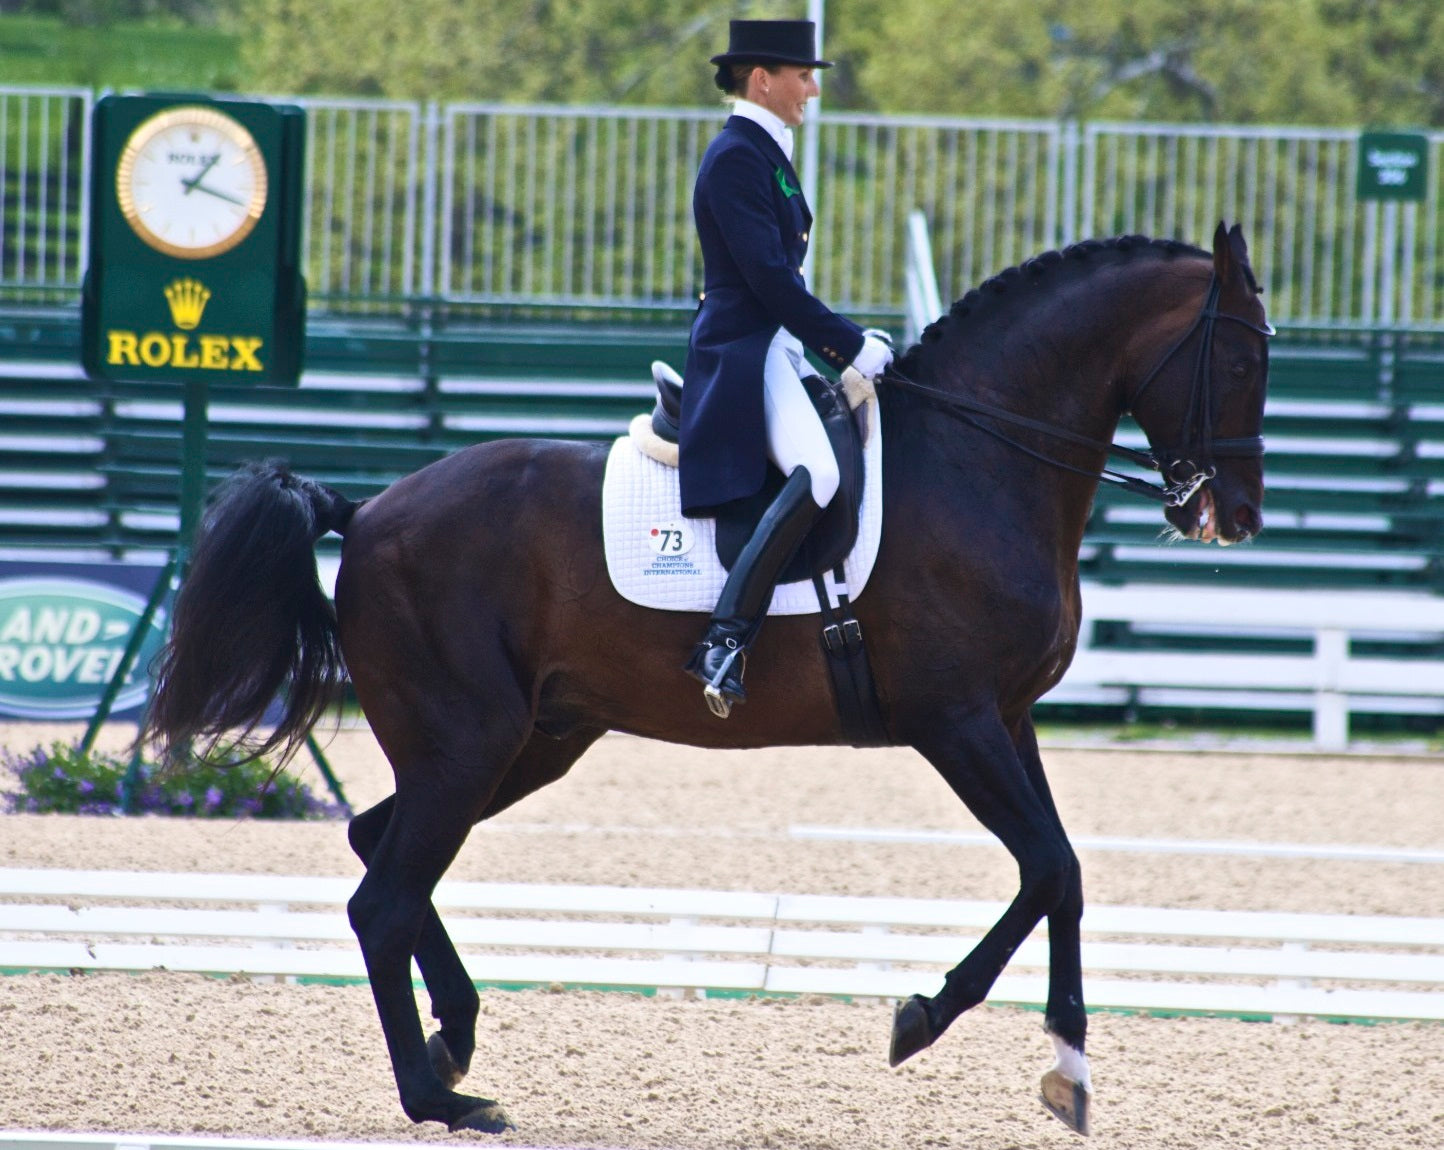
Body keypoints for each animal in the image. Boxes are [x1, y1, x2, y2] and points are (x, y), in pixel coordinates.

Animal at [142, 222, 1271, 1138]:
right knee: (382, 898)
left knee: (382, 849)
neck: (978, 458)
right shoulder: (955, 721)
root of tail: (368, 511)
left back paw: (452, 1039)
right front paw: (921, 1018)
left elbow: (1064, 873)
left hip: (526, 742)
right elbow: (1042, 867)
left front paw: (1068, 1070)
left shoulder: (1008, 717)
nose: (1236, 515)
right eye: (1238, 352)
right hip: (469, 743)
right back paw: (439, 1097)